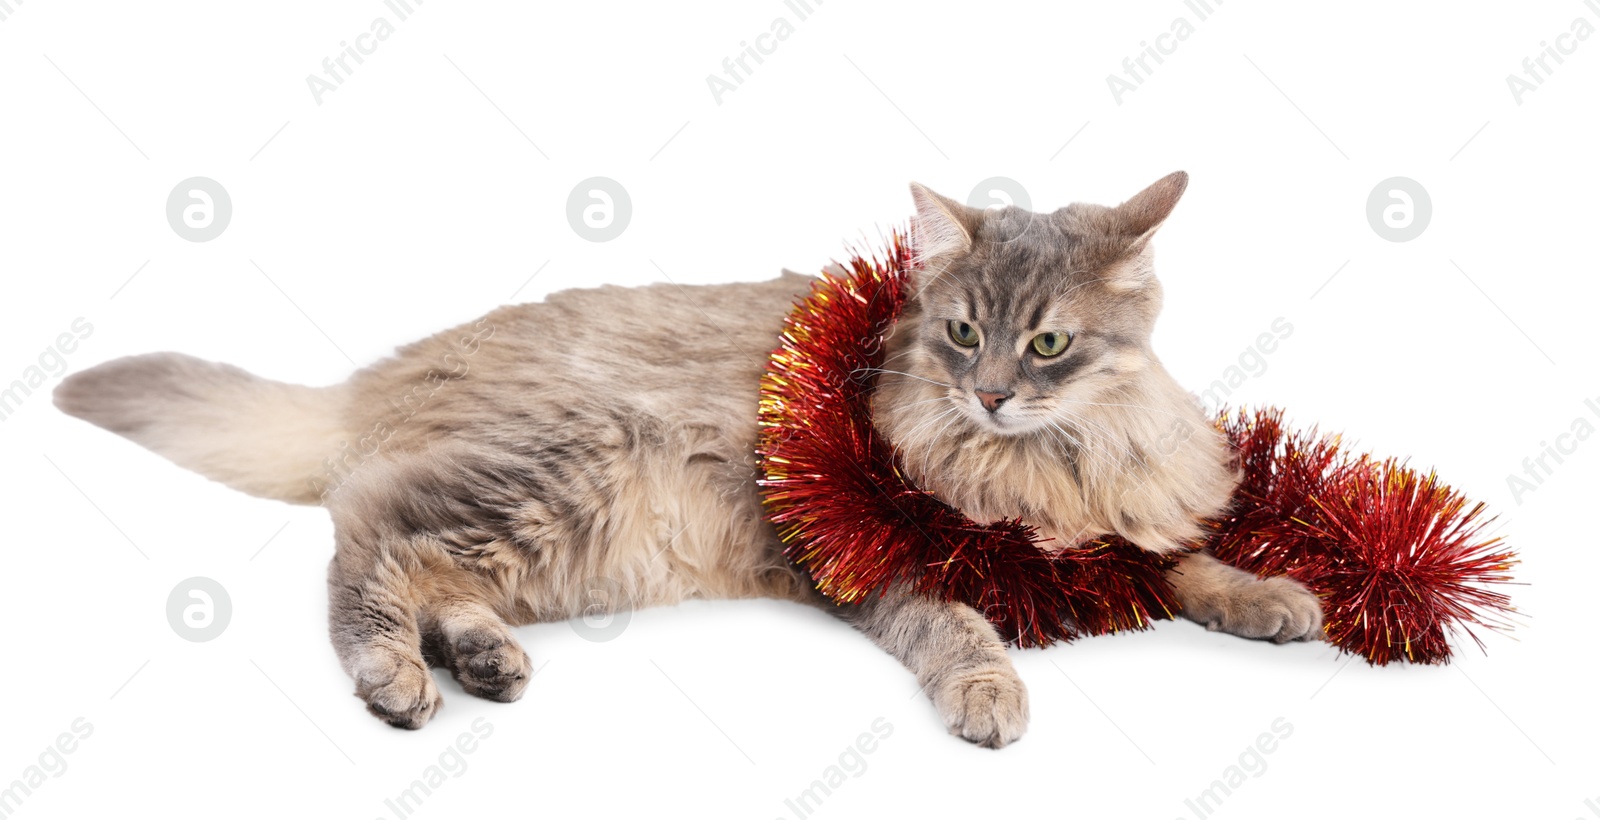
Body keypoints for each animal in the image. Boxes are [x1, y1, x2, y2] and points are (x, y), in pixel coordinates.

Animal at [53, 171, 1324, 749]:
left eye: (1048, 342)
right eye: (963, 331)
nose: (991, 392)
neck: (1046, 461)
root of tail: (393, 370)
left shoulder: (1114, 526)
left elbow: (1183, 561)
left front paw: (1273, 595)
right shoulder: (879, 561)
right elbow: (958, 624)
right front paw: (988, 689)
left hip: (567, 546)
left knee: (425, 564)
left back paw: (481, 659)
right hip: (567, 469)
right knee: (366, 540)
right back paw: (399, 677)